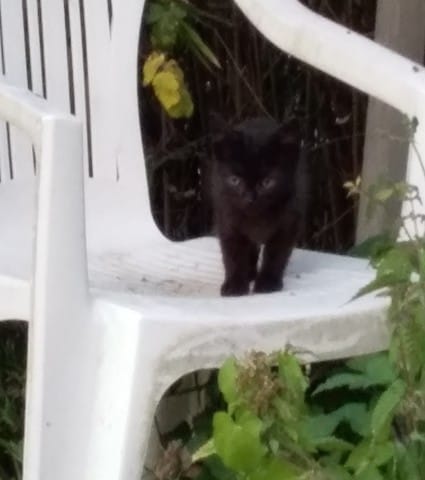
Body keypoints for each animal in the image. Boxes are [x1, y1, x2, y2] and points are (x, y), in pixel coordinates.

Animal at [210, 116, 306, 297]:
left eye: (267, 182)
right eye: (235, 180)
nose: (250, 198)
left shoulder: (288, 223)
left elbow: (276, 254)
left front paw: (267, 283)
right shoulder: (227, 219)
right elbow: (233, 253)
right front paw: (234, 284)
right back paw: (249, 273)